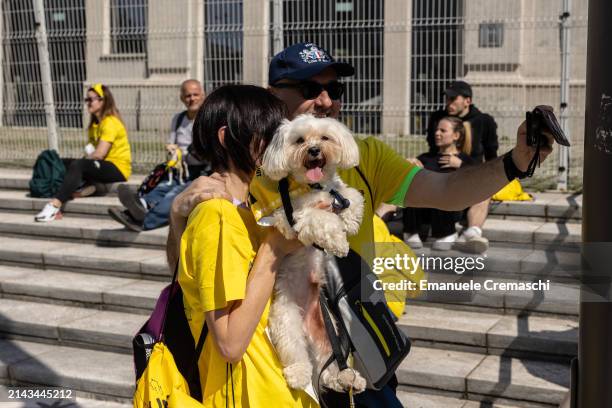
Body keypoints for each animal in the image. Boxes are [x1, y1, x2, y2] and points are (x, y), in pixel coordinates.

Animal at [260, 115, 366, 396]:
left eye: (325, 137)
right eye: (300, 140)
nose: (314, 150)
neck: (315, 186)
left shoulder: (339, 192)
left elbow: (352, 198)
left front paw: (349, 223)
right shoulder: (293, 217)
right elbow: (322, 219)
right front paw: (339, 242)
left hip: (331, 331)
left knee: (328, 365)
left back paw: (348, 380)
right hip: (285, 320)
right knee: (296, 353)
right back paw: (298, 375)